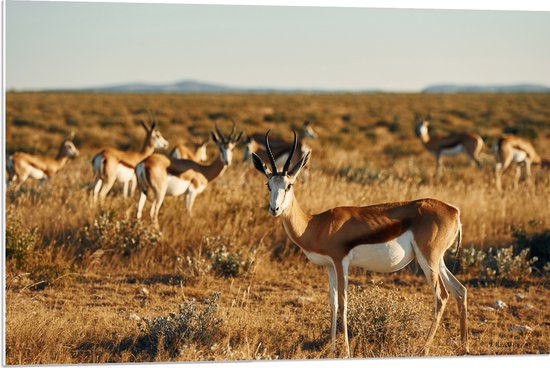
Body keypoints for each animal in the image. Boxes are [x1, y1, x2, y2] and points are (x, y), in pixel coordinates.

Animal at [252, 129, 468, 356]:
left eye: (289, 185)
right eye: (268, 185)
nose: (274, 209)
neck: (315, 224)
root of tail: (454, 210)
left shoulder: (341, 262)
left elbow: (344, 303)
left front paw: (346, 351)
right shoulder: (329, 266)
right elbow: (332, 303)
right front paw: (332, 349)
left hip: (428, 259)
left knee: (441, 296)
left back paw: (423, 350)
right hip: (437, 260)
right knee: (460, 290)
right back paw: (464, 346)